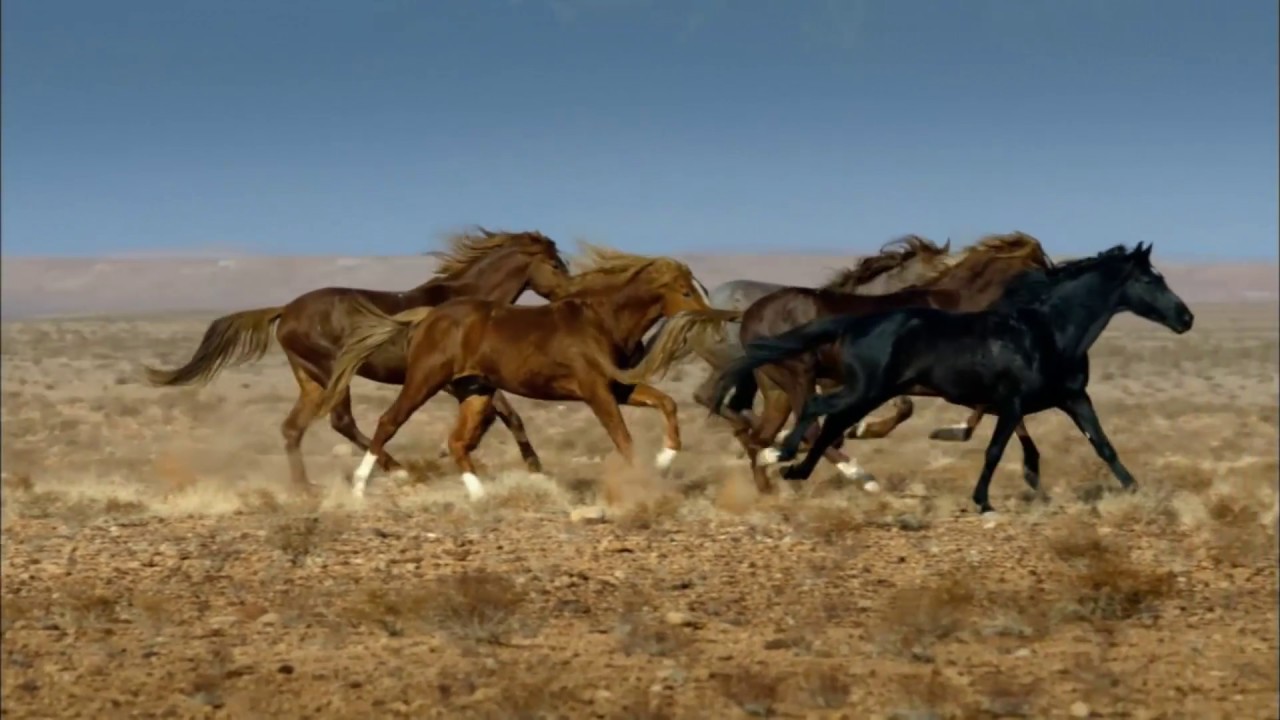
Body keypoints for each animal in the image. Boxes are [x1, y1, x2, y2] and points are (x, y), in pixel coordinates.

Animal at [142, 228, 573, 492]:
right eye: (555, 263)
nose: (570, 294)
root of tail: (286, 310)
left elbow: (501, 413)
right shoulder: (450, 378)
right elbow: (507, 412)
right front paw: (533, 468)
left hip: (311, 380)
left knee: (292, 428)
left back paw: (304, 488)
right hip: (334, 372)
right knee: (341, 421)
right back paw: (397, 471)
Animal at [314, 243, 734, 500]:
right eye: (684, 290)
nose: (721, 322)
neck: (602, 320)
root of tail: (428, 316)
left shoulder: (619, 387)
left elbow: (667, 405)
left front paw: (664, 461)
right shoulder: (596, 390)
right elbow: (623, 438)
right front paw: (643, 483)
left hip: (476, 390)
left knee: (458, 441)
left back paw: (480, 496)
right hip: (425, 380)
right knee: (389, 421)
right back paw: (360, 487)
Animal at [712, 243, 1193, 515]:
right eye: (1151, 279)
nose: (1186, 318)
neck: (1048, 329)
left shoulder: (1073, 398)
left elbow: (1103, 444)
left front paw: (1135, 489)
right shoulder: (1011, 402)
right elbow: (995, 449)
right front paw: (984, 499)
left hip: (855, 391)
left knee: (818, 425)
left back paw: (793, 471)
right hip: (852, 386)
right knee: (814, 415)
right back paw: (786, 461)